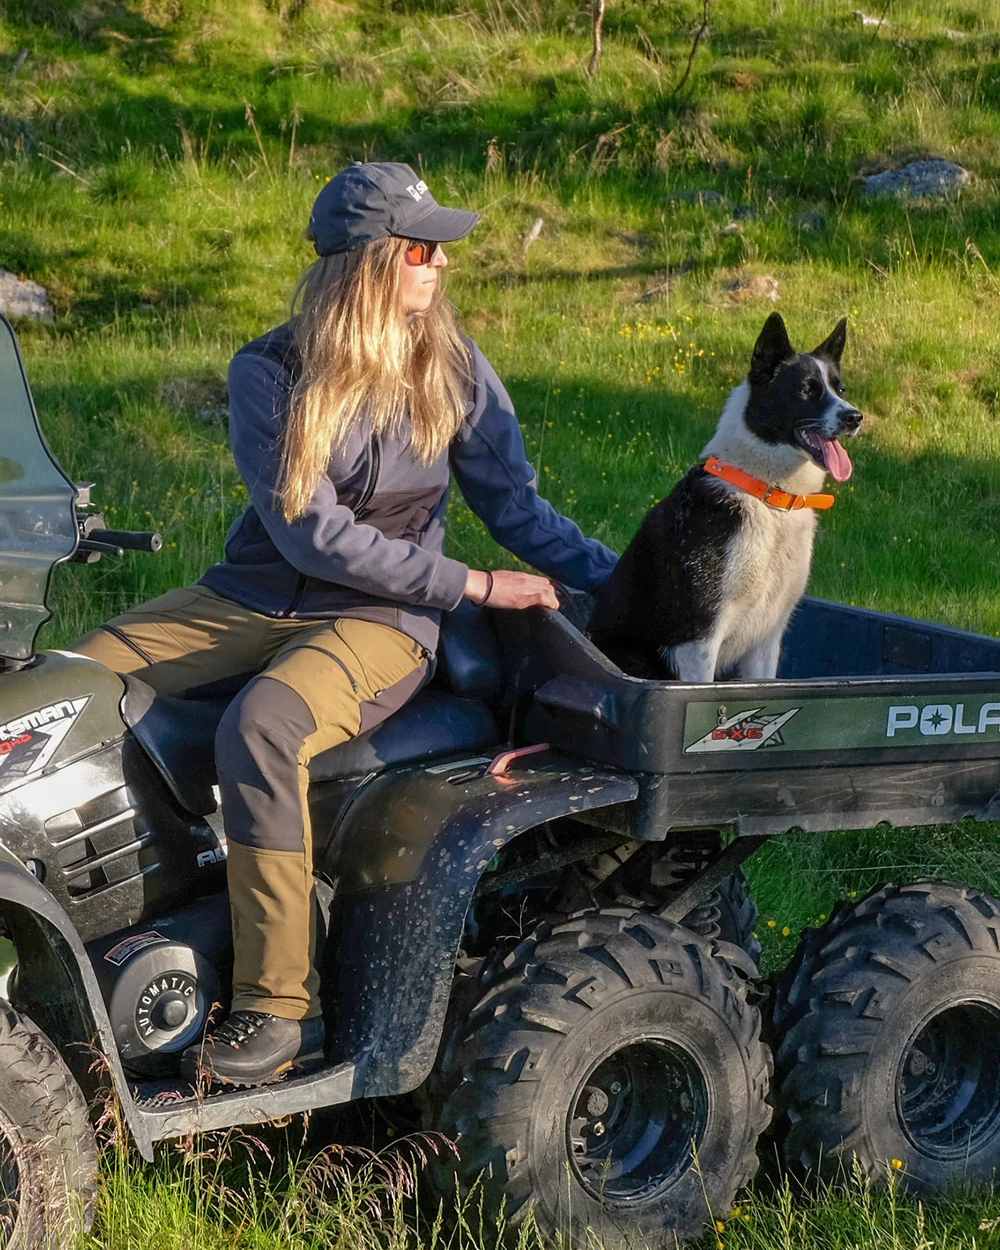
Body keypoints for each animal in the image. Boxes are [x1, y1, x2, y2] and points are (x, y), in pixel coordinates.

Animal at [590, 312, 865, 685]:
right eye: (807, 390)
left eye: (841, 390)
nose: (855, 417)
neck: (768, 496)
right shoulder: (700, 638)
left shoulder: (766, 641)